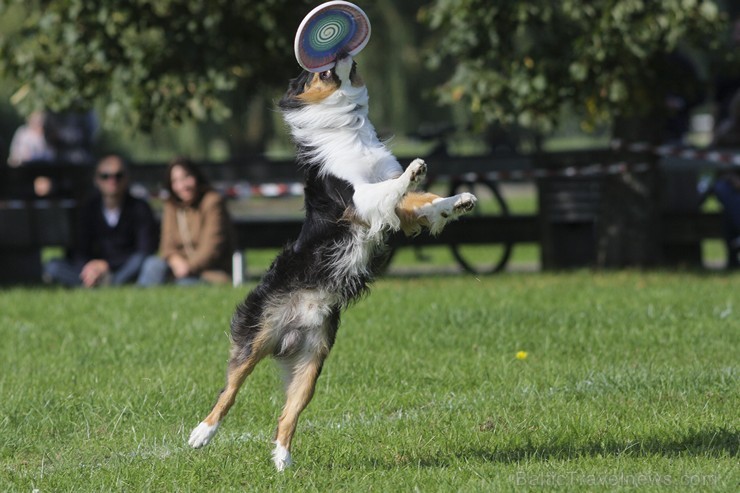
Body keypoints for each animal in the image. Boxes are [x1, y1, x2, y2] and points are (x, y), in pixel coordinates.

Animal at [188, 54, 476, 468]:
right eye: (312, 72)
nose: (342, 54)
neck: (349, 128)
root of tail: (292, 326)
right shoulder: (357, 198)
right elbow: (393, 188)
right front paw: (415, 170)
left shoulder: (397, 211)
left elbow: (425, 202)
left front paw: (459, 201)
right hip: (255, 337)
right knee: (228, 392)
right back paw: (201, 434)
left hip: (312, 361)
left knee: (287, 413)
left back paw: (282, 460)